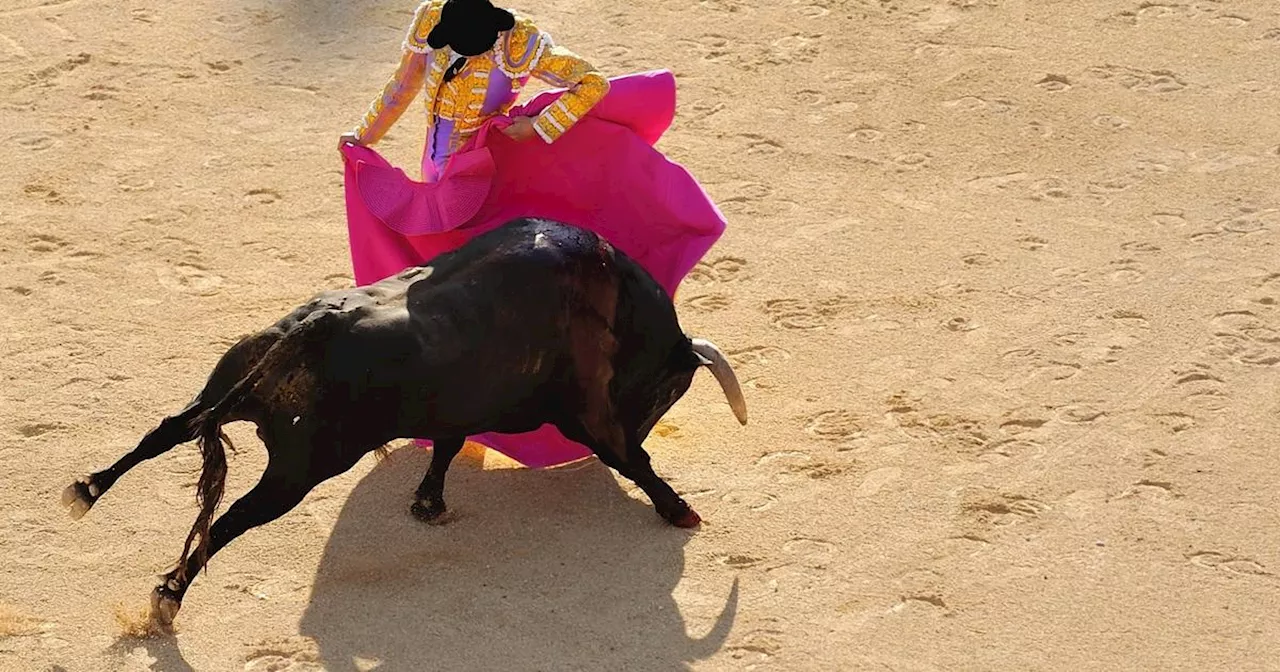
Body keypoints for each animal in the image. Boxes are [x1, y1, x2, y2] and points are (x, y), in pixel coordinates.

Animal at [62, 217, 747, 627]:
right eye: (671, 389)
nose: (649, 417)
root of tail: (314, 327)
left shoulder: (458, 405)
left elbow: (446, 445)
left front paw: (428, 504)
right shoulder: (593, 415)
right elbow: (632, 460)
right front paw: (681, 510)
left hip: (228, 383)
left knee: (168, 430)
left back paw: (86, 490)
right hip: (299, 470)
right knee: (231, 519)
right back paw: (168, 596)